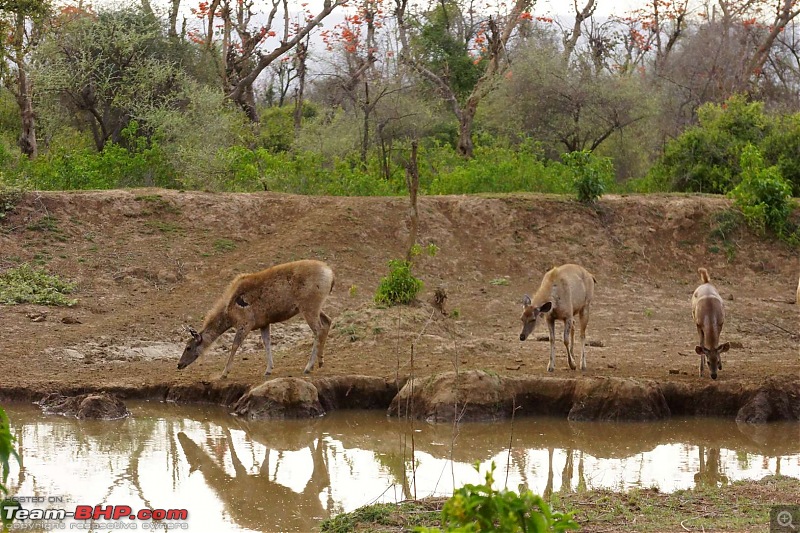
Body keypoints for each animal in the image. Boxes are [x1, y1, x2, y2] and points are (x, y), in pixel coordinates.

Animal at [177, 258, 334, 376]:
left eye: (188, 347)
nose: (179, 364)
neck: (228, 315)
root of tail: (331, 275)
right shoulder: (263, 322)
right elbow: (267, 343)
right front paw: (268, 369)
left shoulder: (246, 322)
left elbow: (234, 345)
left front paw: (224, 372)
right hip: (315, 306)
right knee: (328, 321)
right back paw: (320, 361)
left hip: (309, 305)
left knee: (318, 330)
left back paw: (309, 366)